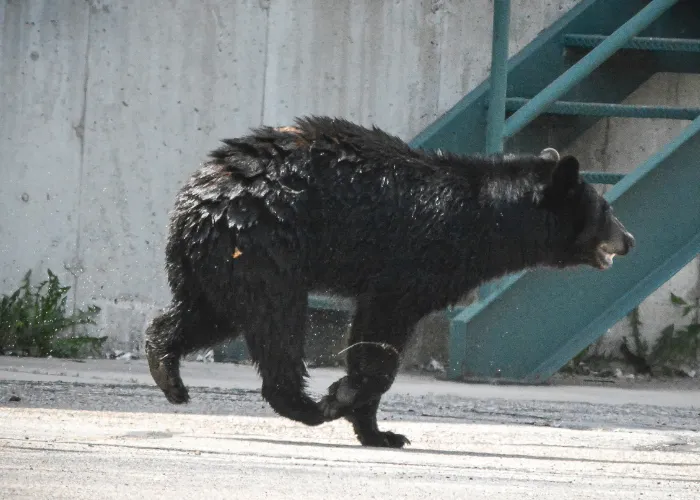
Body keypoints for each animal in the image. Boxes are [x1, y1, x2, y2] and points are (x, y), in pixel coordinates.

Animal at [145, 115, 636, 448]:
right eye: (606, 209)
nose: (630, 239)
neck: (487, 220)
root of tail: (196, 201)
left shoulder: (386, 278)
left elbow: (368, 334)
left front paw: (379, 432)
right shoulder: (414, 261)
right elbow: (383, 334)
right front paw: (346, 396)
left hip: (218, 262)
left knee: (210, 314)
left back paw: (167, 371)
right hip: (264, 245)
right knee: (276, 319)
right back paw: (308, 405)